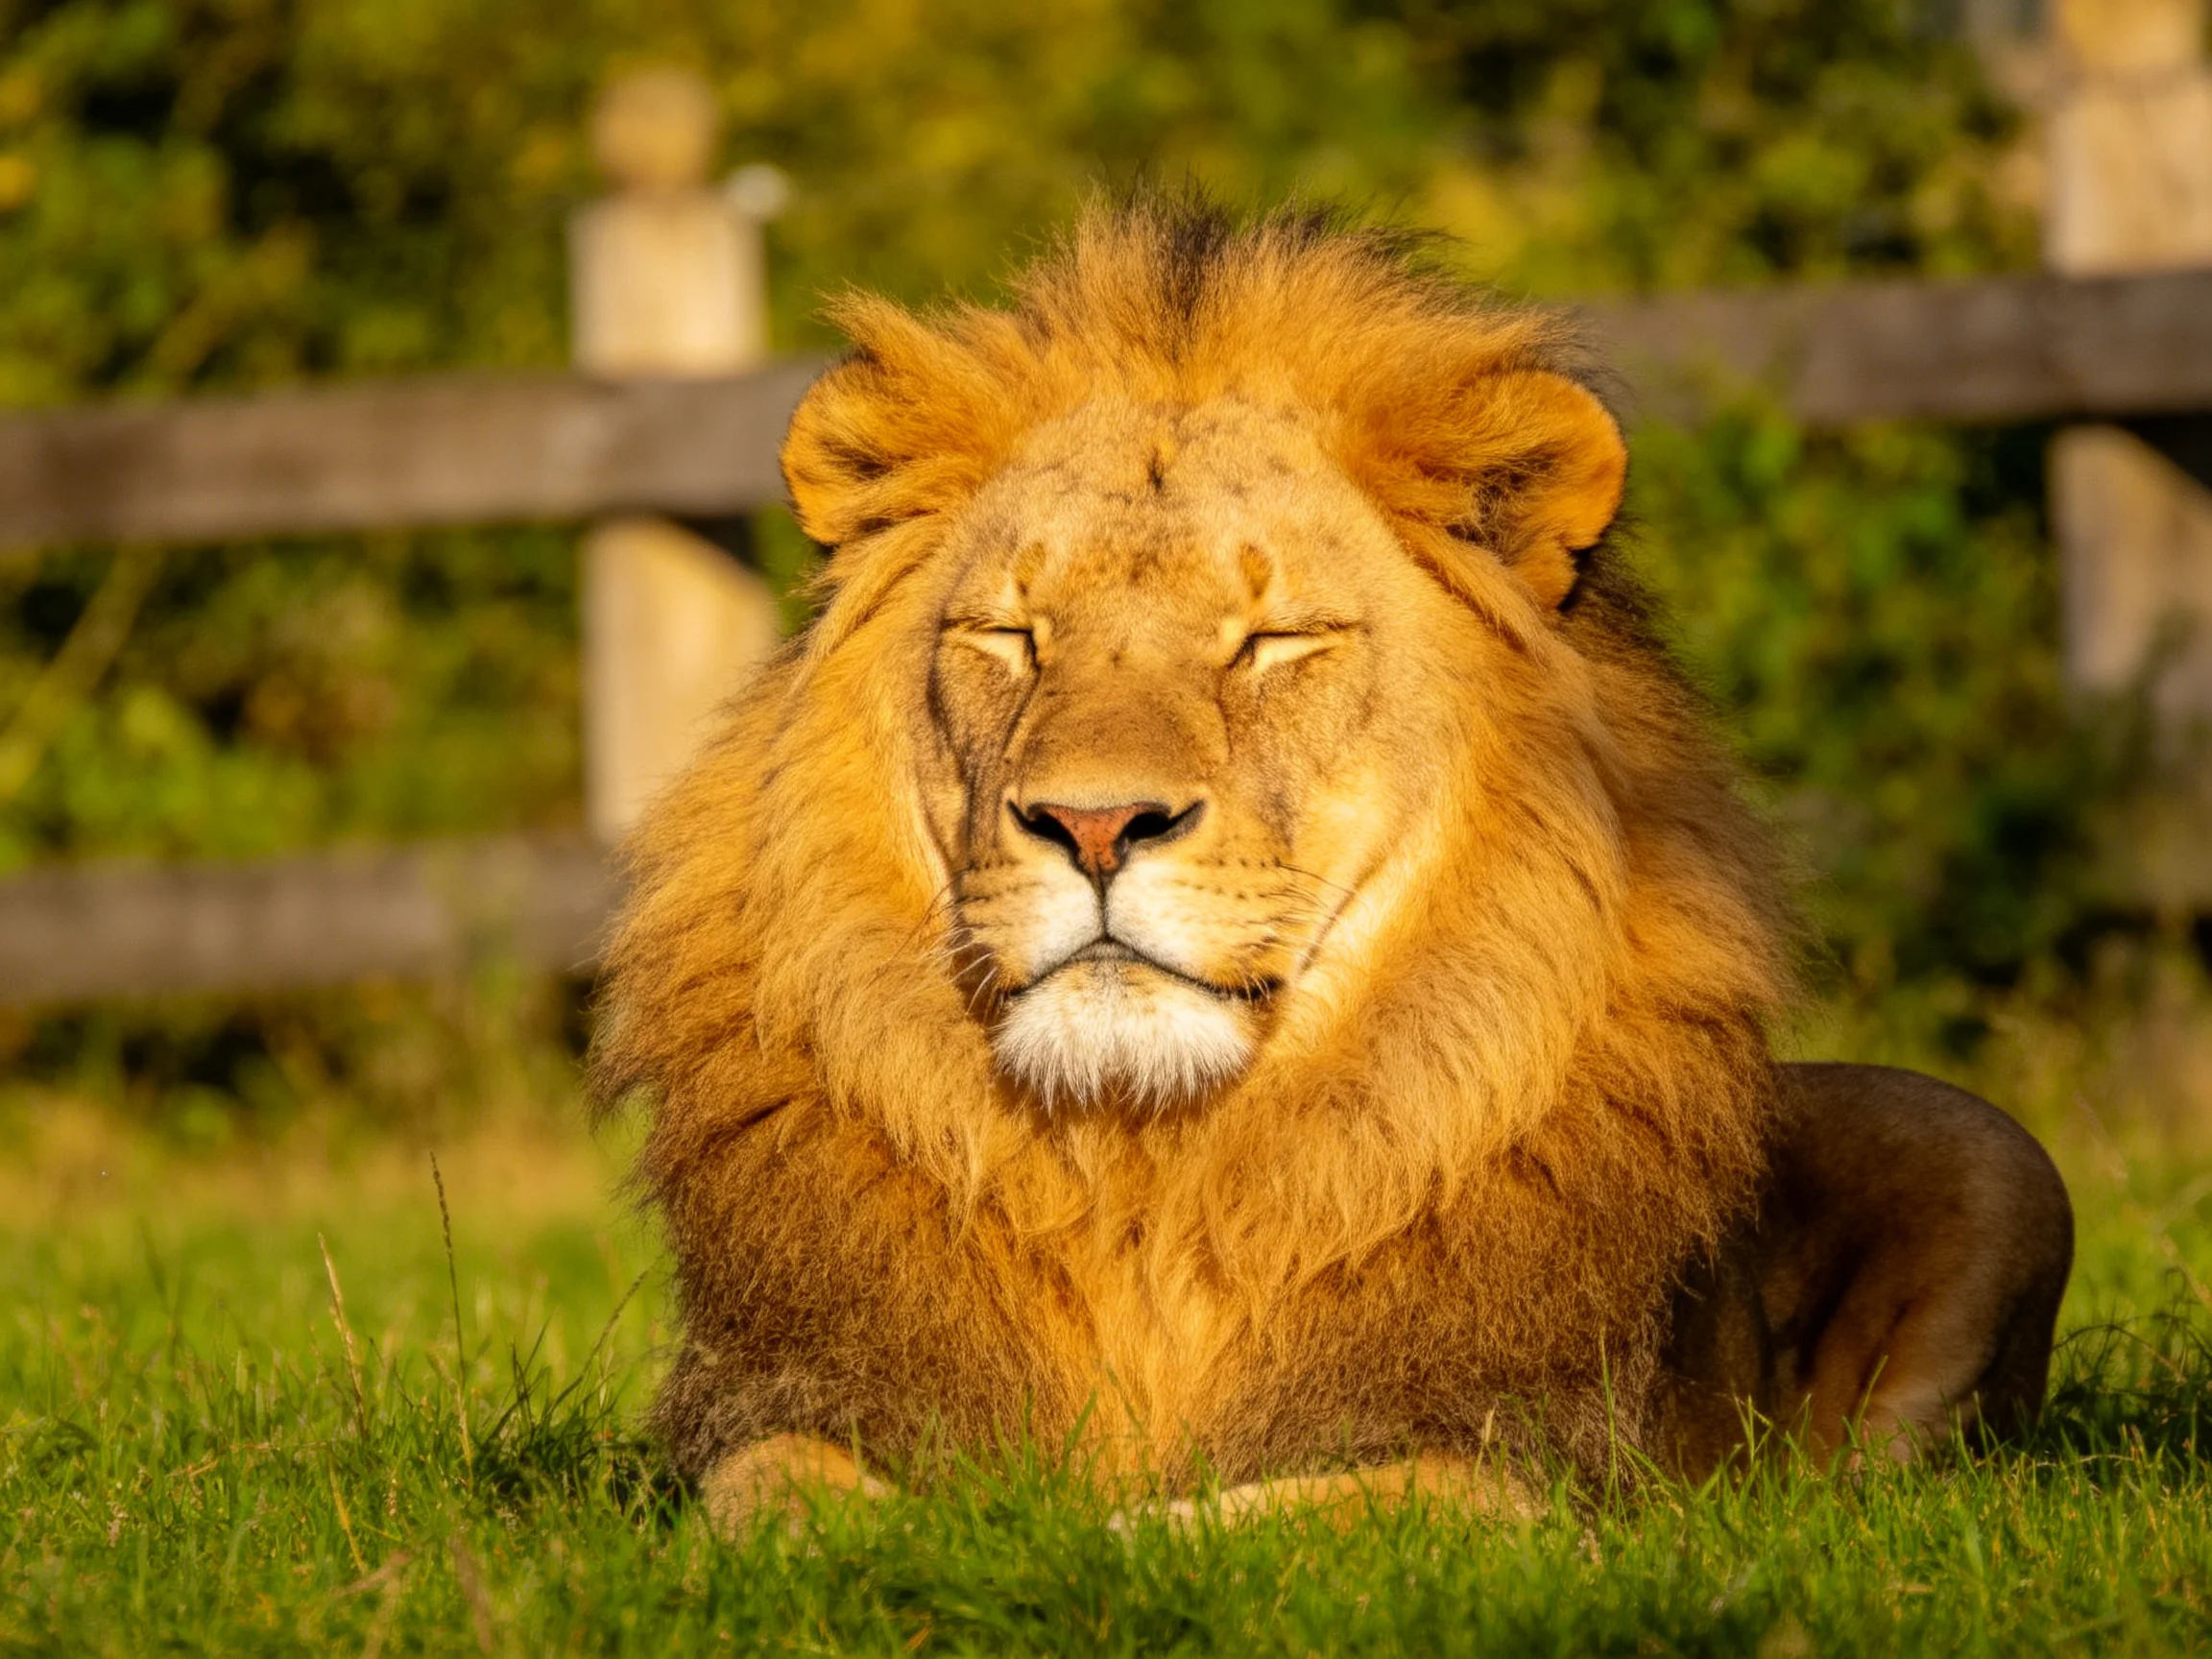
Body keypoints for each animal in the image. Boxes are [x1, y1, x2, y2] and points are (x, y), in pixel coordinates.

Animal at [591, 199, 2073, 1530]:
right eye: (1011, 634)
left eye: (1273, 641)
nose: (1093, 824)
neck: (1147, 1173)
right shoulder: (779, 1408)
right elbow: (786, 1501)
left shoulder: (1510, 1466)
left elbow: (1233, 1522)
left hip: (1996, 1159)